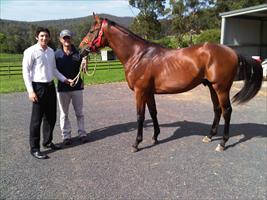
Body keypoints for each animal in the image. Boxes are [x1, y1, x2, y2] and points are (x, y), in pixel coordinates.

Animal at [79, 14, 264, 152]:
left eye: (92, 31)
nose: (81, 50)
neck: (138, 55)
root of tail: (232, 51)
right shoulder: (148, 92)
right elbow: (153, 113)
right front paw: (155, 137)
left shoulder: (140, 91)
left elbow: (140, 116)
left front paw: (137, 143)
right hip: (212, 87)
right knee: (217, 110)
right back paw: (210, 136)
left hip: (222, 88)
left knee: (227, 111)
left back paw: (223, 143)